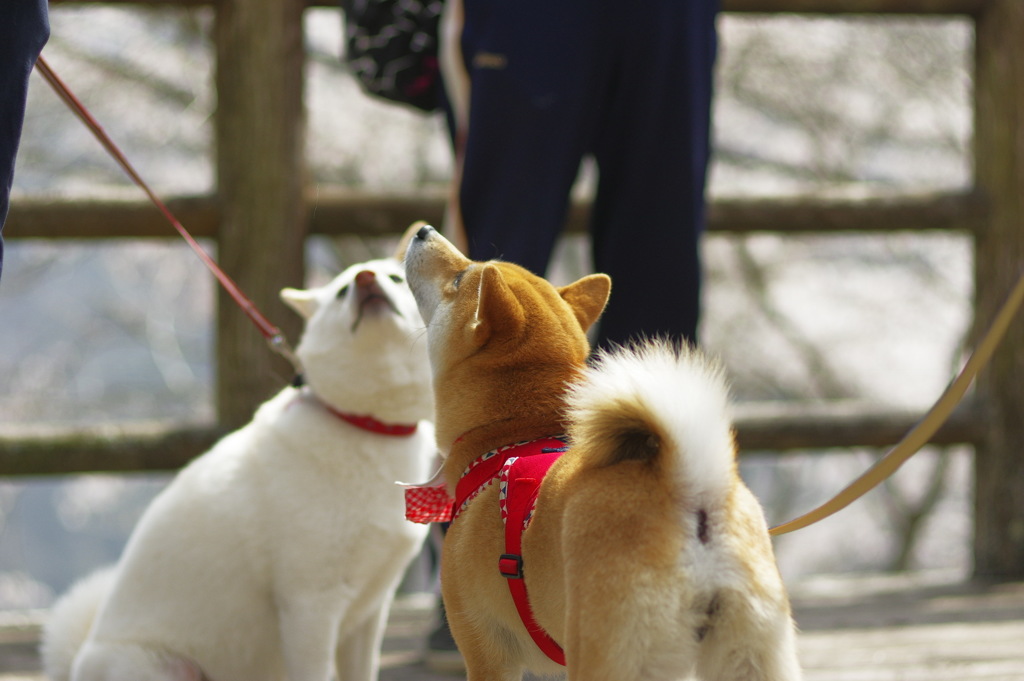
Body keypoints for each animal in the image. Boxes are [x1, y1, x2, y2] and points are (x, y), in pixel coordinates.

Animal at [41, 246, 434, 679]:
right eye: (342, 291)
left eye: (394, 278)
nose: (365, 279)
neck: (365, 423)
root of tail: (75, 664)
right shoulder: (311, 602)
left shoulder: (370, 610)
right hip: (161, 666)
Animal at [405, 224, 798, 679]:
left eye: (458, 278)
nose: (423, 230)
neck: (512, 433)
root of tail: (689, 490)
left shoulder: (488, 654)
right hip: (747, 653)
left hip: (606, 652)